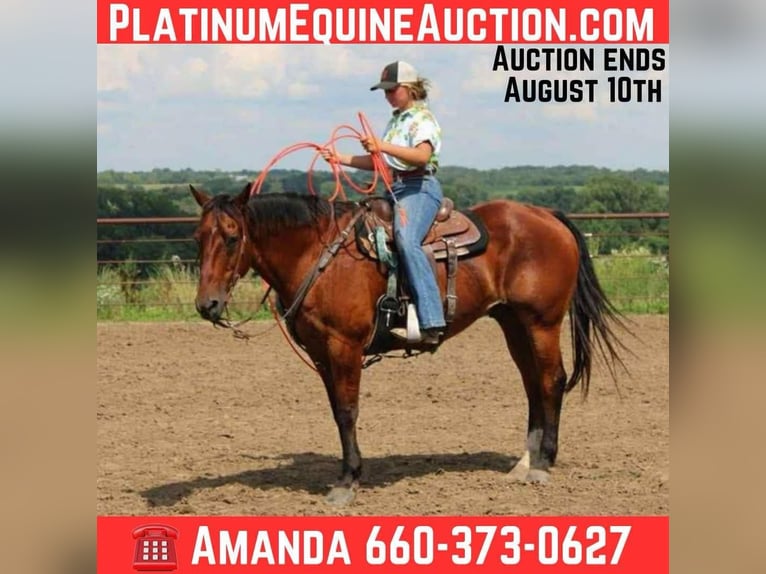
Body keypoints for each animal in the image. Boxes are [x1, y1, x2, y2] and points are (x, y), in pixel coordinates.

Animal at [189, 183, 627, 506]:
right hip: (512, 323)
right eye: (198, 236)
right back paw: (524, 463)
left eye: (232, 237)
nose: (207, 305)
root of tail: (547, 215)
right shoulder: (321, 353)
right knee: (533, 385)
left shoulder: (344, 347)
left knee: (552, 380)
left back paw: (542, 465)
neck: (320, 255)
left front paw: (347, 482)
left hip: (542, 322)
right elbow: (336, 413)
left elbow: (347, 412)